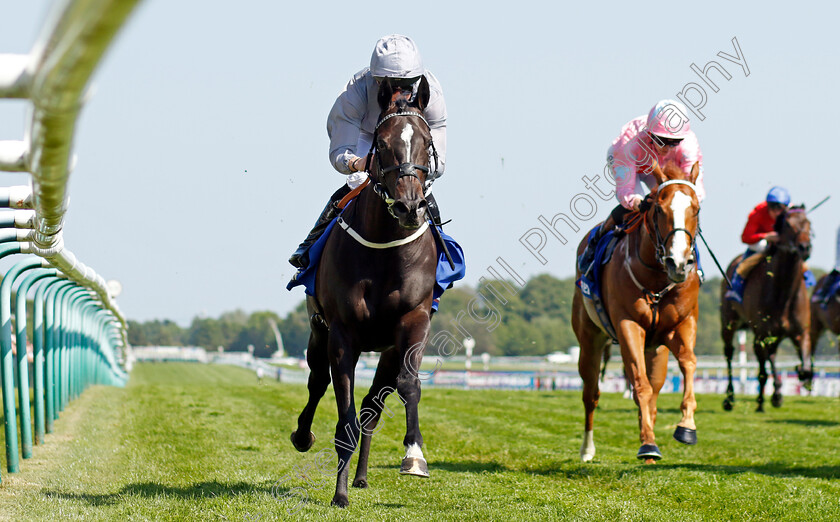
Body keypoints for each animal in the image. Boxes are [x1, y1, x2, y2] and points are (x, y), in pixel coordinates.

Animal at [288, 77, 436, 504]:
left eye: (426, 140)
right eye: (381, 142)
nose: (408, 207)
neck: (386, 250)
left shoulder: (414, 322)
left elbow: (409, 385)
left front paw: (414, 456)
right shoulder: (343, 333)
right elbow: (344, 411)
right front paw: (338, 495)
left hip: (387, 350)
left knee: (375, 403)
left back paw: (363, 476)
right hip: (318, 333)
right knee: (317, 382)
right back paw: (305, 437)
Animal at [572, 160, 704, 462]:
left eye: (696, 209)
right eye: (659, 209)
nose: (679, 263)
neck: (656, 279)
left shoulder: (682, 325)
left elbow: (689, 363)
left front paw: (686, 427)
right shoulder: (628, 325)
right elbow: (640, 385)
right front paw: (648, 446)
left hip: (656, 349)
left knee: (654, 391)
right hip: (590, 339)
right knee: (591, 394)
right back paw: (588, 449)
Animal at [720, 204, 812, 410]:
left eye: (809, 223)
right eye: (788, 224)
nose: (805, 247)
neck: (783, 295)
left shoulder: (800, 332)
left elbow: (804, 364)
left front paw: (803, 376)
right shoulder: (764, 333)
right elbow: (768, 365)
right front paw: (776, 395)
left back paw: (761, 400)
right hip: (729, 322)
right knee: (730, 354)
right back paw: (730, 398)